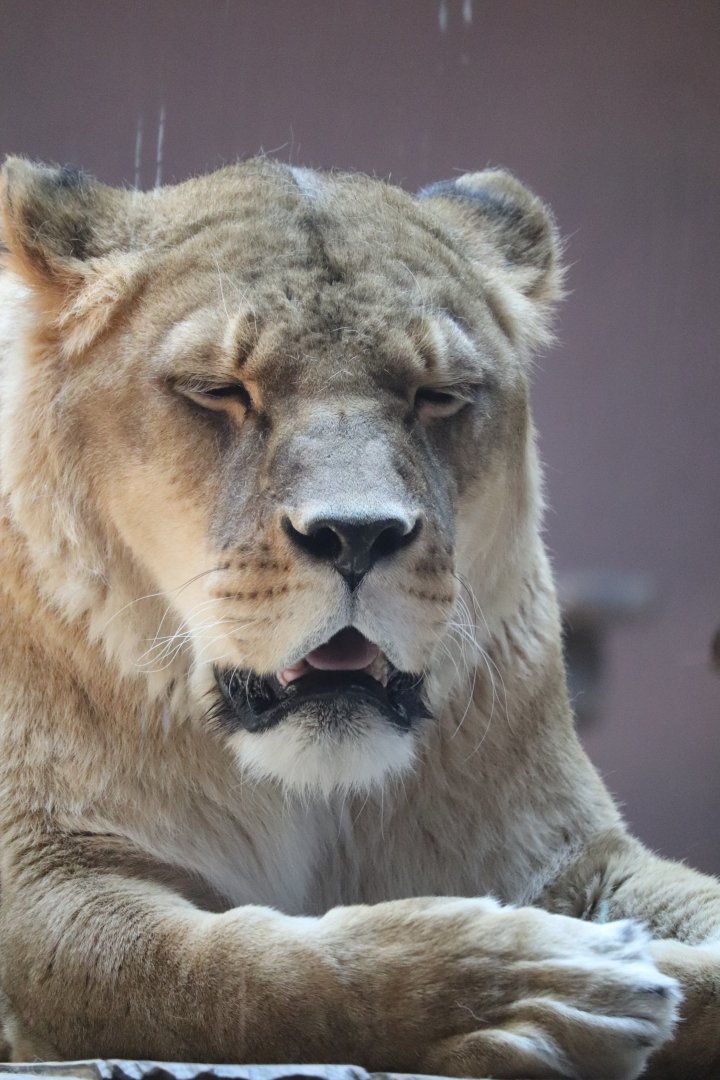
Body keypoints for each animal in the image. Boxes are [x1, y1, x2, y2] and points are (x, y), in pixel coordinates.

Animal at [0, 155, 717, 1079]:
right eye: (221, 390)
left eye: (439, 396)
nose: (357, 533)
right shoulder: (46, 875)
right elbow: (229, 974)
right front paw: (531, 982)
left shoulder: (573, 855)